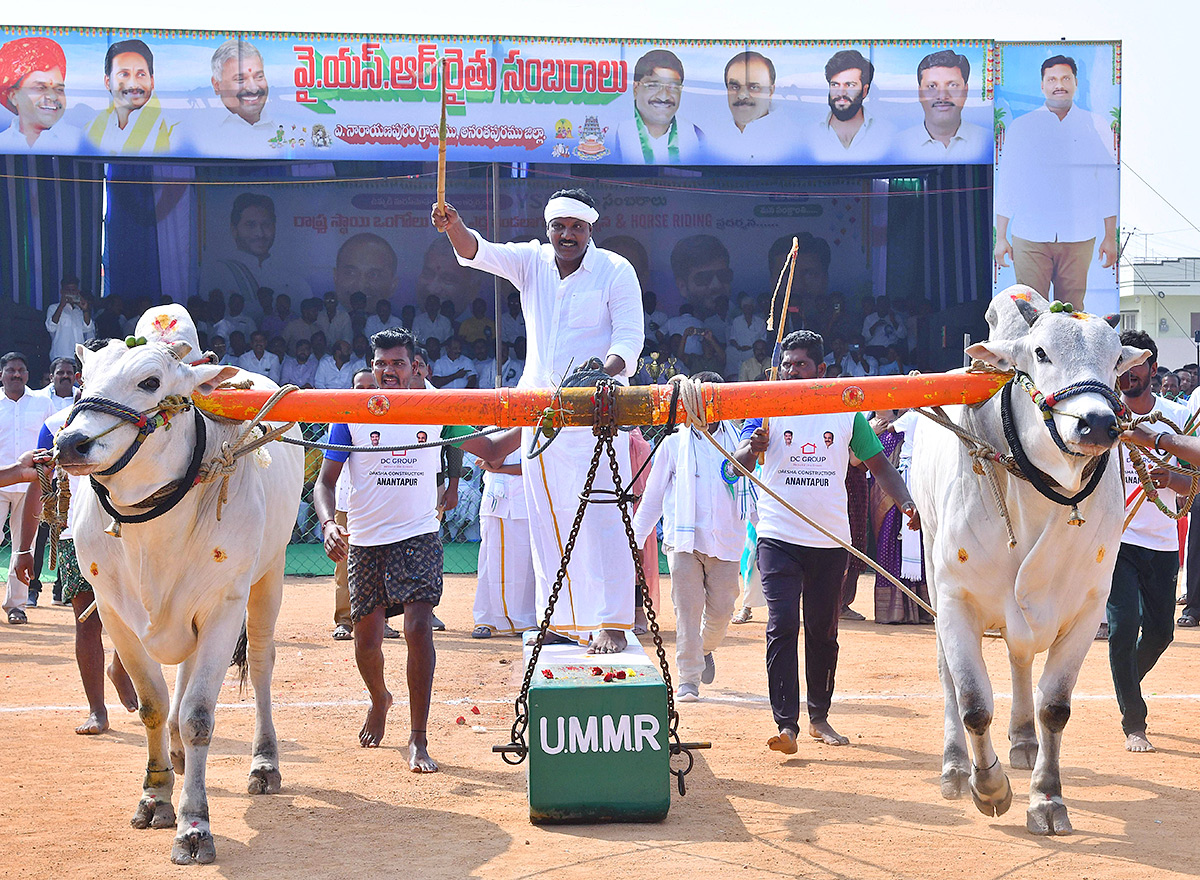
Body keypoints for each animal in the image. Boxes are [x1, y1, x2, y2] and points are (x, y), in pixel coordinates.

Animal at [57, 328, 302, 859]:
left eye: (150, 381)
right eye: (83, 378)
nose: (71, 443)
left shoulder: (222, 609)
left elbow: (198, 717)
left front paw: (195, 824)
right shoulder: (115, 614)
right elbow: (152, 705)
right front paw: (156, 797)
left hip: (268, 575)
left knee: (262, 664)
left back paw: (264, 763)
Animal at [907, 290, 1152, 835]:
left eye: (1115, 361)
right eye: (1040, 353)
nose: (1097, 423)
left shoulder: (1088, 609)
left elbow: (1055, 707)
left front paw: (1047, 799)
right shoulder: (955, 599)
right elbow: (973, 702)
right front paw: (990, 788)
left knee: (1020, 664)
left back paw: (1022, 740)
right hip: (932, 566)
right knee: (948, 677)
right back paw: (956, 767)